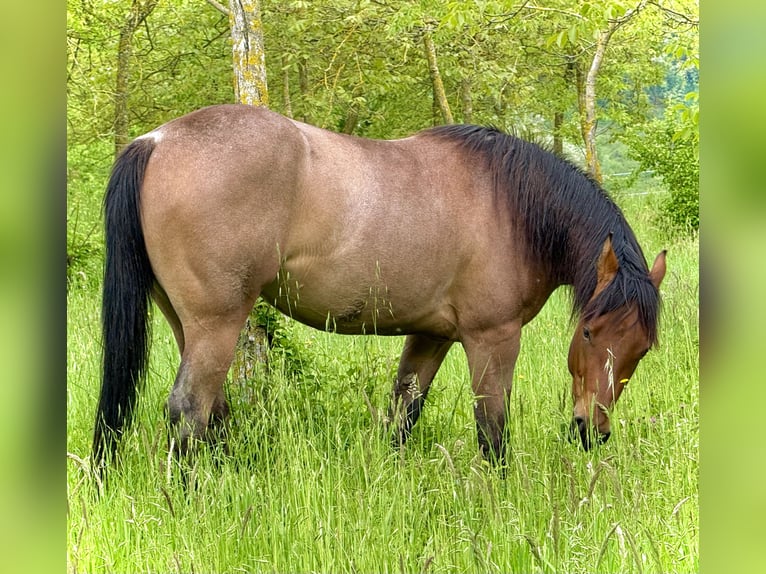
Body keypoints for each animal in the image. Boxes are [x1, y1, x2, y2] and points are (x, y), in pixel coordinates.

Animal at [92, 104, 665, 469]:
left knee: (211, 409)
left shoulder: (431, 336)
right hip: (217, 324)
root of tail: (156, 141)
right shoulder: (492, 339)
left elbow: (403, 414)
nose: (591, 430)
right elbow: (492, 430)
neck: (511, 205)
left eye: (640, 350)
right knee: (189, 411)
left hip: (189, 323)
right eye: (588, 333)